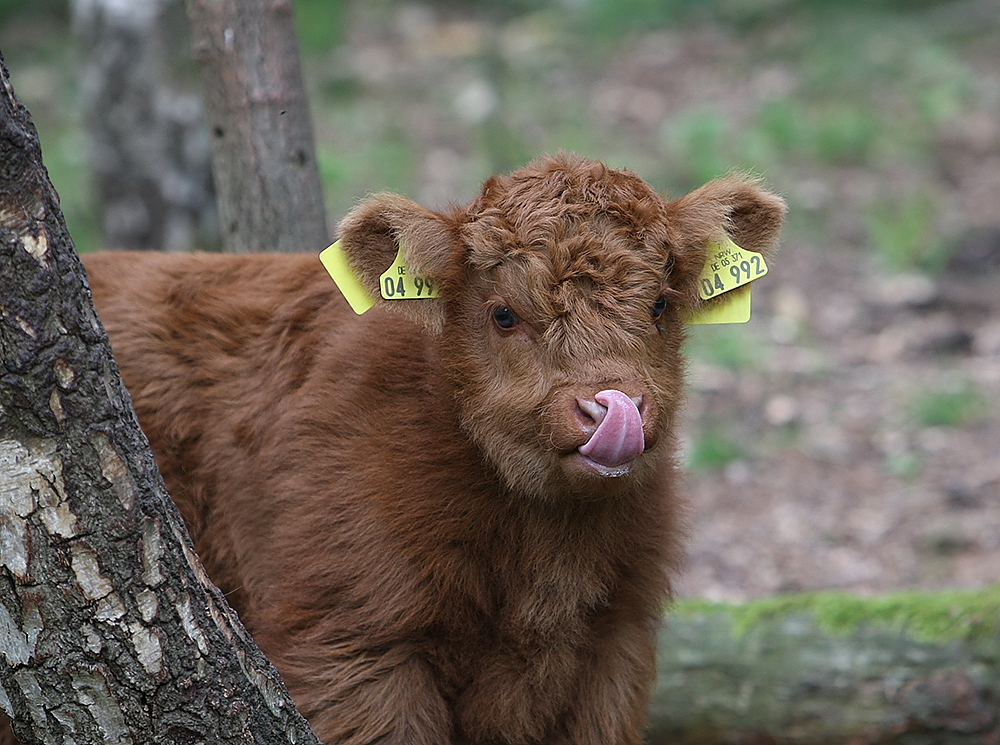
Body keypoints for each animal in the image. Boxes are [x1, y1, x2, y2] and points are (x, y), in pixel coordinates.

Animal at [78, 154, 780, 740]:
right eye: (503, 314)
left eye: (661, 305)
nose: (614, 409)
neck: (548, 557)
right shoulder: (350, 645)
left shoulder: (616, 648)